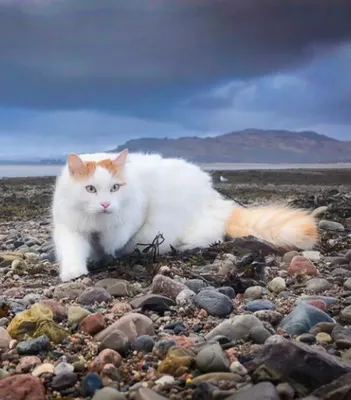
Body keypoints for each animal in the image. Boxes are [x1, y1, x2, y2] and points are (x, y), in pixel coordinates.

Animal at [52, 148, 320, 282]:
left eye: (115, 188)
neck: (97, 221)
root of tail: (214, 197)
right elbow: (73, 251)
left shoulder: (135, 213)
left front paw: (108, 250)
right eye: (91, 189)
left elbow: (116, 237)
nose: (106, 203)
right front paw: (73, 272)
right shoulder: (70, 229)